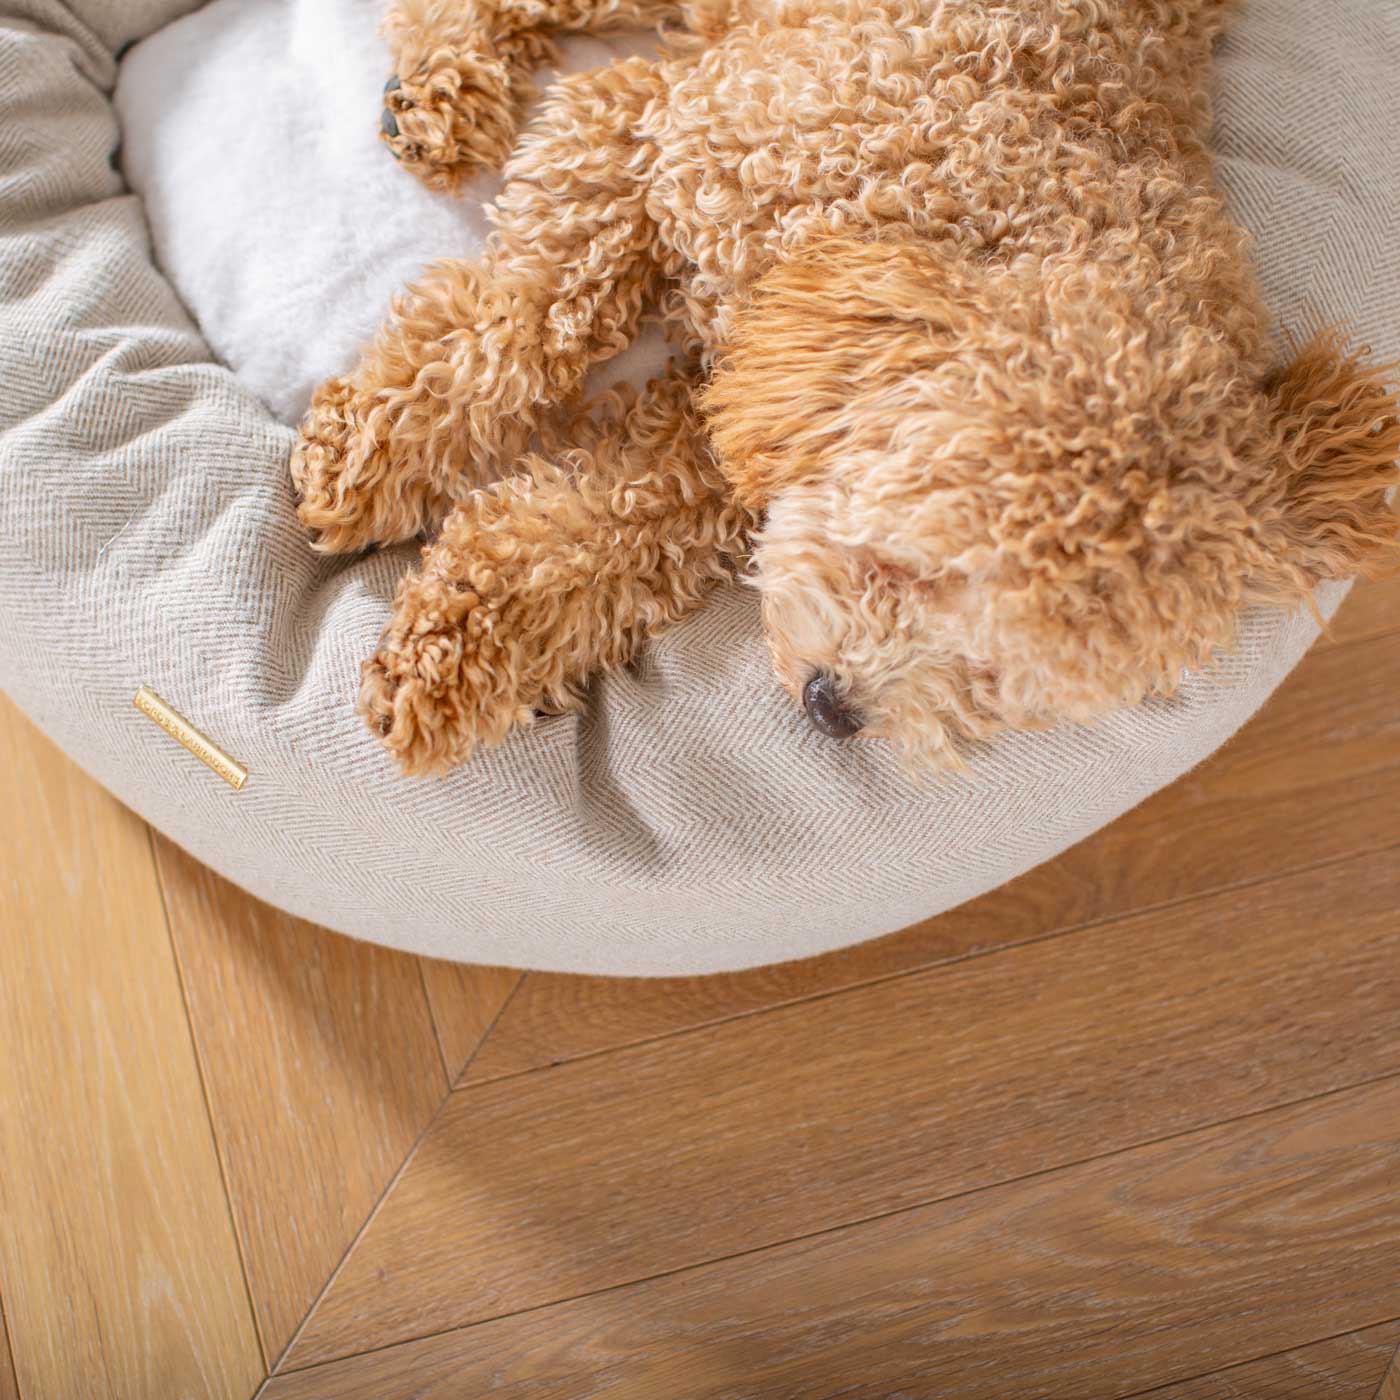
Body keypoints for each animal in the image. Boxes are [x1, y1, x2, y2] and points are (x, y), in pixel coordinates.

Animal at [289, 0, 1394, 778]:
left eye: (999, 676)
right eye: (908, 567)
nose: (832, 709)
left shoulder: (752, 419)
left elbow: (603, 523)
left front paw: (460, 650)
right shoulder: (655, 123)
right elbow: (522, 319)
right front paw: (368, 455)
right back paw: (440, 91)